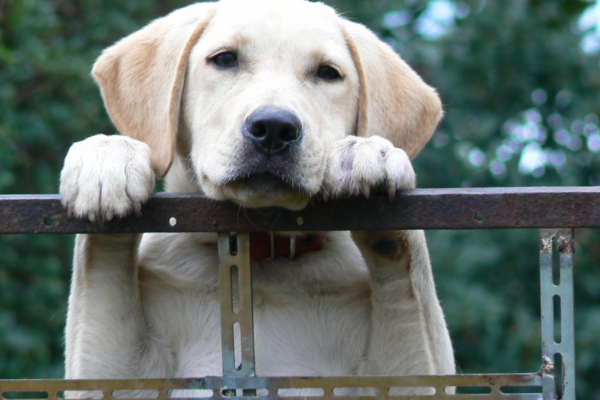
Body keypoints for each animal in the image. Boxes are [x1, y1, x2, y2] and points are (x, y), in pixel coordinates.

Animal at [59, 0, 454, 394]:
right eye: (225, 59)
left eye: (328, 73)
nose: (274, 128)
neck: (262, 255)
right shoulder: (120, 374)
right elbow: (102, 263)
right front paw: (107, 158)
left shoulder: (407, 375)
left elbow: (409, 272)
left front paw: (368, 151)